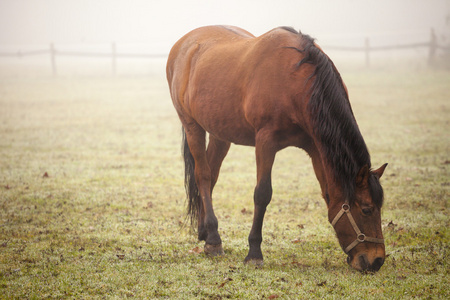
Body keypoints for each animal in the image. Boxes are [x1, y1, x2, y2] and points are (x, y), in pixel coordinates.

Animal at [167, 25, 388, 272]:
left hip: (219, 133)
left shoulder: (314, 147)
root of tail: (184, 44)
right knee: (203, 176)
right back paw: (214, 239)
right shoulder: (266, 141)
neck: (295, 80)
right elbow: (262, 194)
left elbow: (326, 191)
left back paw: (205, 232)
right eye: (367, 209)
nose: (376, 260)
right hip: (192, 126)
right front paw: (254, 252)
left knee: (211, 176)